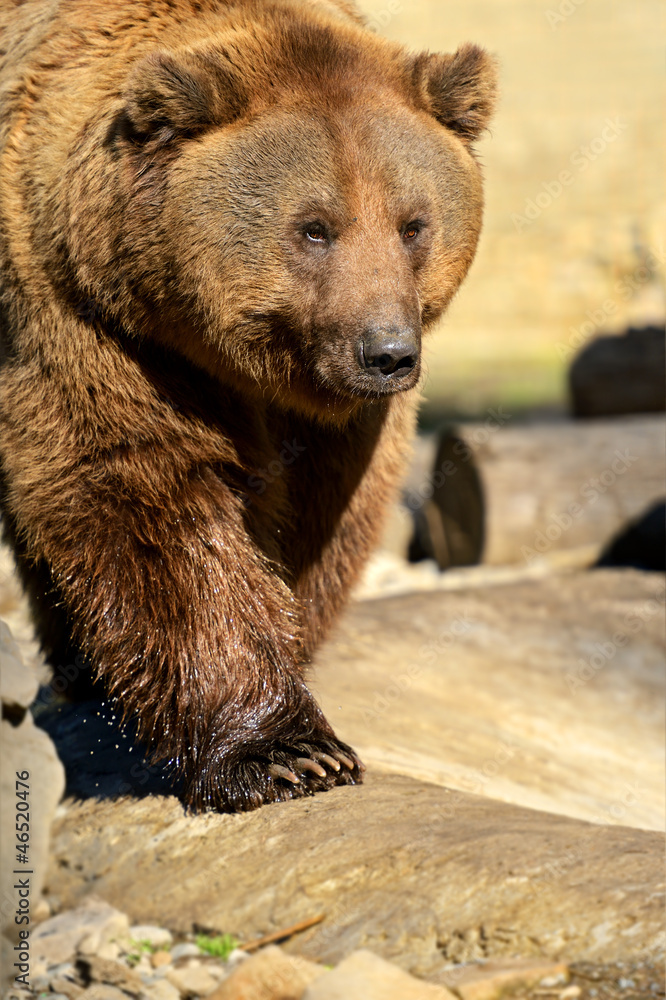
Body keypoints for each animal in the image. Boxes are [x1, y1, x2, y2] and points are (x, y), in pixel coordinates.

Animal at [0, 0, 496, 812]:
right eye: (315, 226)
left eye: (412, 223)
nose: (387, 352)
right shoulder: (86, 317)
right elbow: (145, 491)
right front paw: (287, 753)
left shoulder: (339, 417)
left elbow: (321, 513)